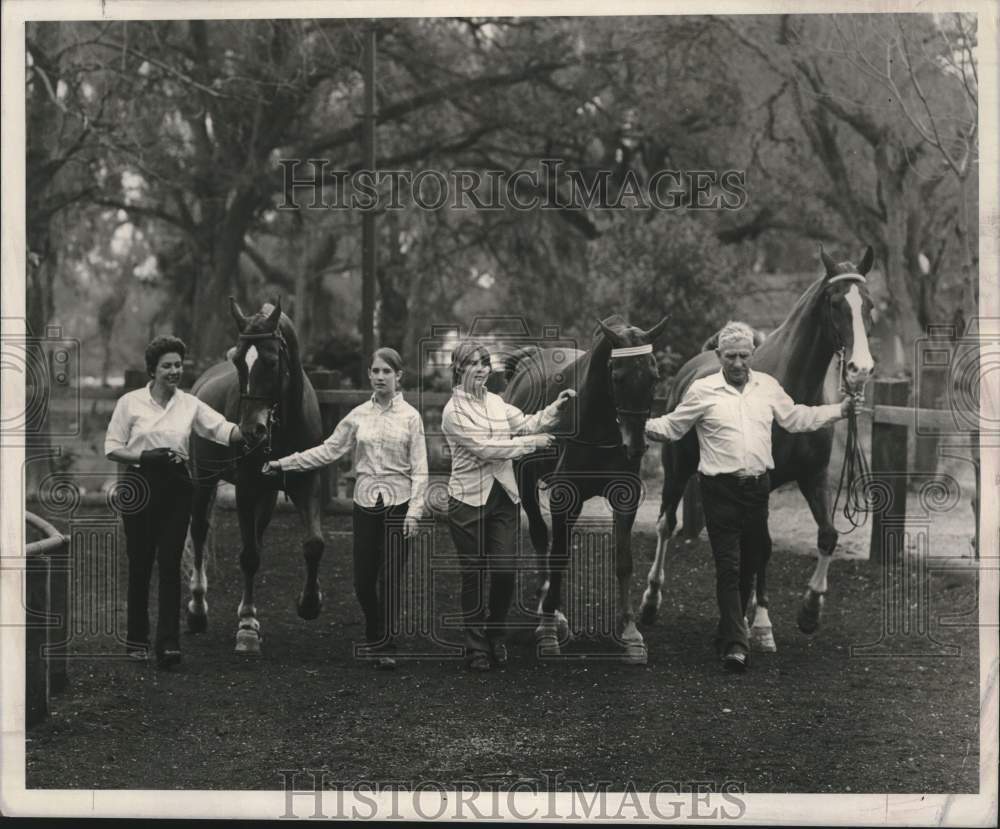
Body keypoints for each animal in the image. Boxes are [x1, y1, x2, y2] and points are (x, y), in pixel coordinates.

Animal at [187, 298, 324, 652]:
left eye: (272, 361)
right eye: (238, 361)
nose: (251, 431)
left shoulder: (307, 483)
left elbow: (313, 543)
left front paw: (310, 602)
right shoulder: (246, 489)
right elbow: (248, 556)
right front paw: (247, 626)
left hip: (267, 493)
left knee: (257, 535)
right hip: (203, 480)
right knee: (200, 531)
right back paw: (197, 609)